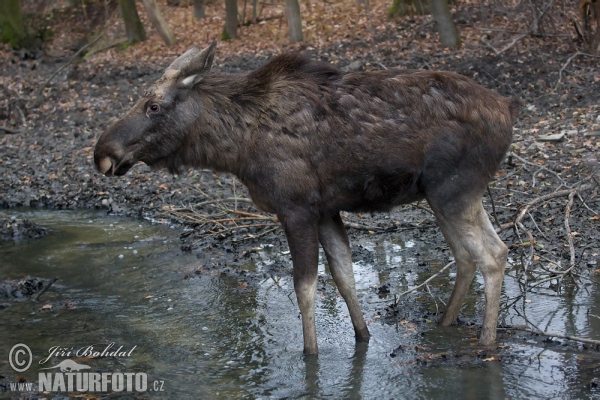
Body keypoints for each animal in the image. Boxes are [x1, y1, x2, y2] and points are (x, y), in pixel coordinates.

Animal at [95, 39, 520, 354]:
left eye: (153, 105)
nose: (102, 152)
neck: (236, 150)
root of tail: (508, 110)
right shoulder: (326, 210)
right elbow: (345, 277)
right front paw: (363, 337)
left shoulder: (295, 207)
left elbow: (306, 288)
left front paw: (310, 355)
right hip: (447, 196)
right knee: (468, 255)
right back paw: (447, 323)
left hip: (453, 190)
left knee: (493, 254)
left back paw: (486, 342)